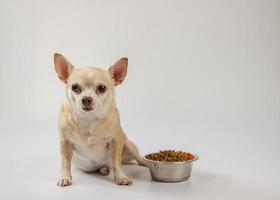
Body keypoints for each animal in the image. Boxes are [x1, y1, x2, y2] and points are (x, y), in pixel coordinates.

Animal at [54, 53, 147, 186]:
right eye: (74, 87)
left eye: (102, 88)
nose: (86, 99)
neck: (89, 119)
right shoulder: (65, 143)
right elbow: (65, 163)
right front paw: (65, 177)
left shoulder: (116, 141)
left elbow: (116, 163)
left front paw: (121, 177)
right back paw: (104, 169)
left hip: (128, 144)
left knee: (137, 159)